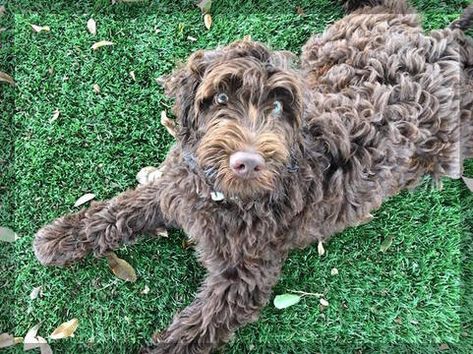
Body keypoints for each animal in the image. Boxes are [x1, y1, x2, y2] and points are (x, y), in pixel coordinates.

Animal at [33, 0, 472, 354]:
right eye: (221, 98)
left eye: (279, 106)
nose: (247, 161)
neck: (222, 197)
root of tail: (442, 44)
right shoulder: (175, 190)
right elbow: (119, 212)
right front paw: (61, 237)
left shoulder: (242, 280)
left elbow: (193, 332)